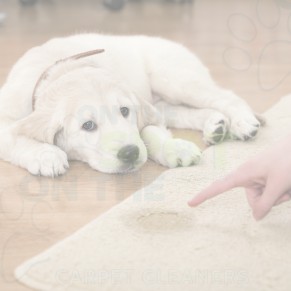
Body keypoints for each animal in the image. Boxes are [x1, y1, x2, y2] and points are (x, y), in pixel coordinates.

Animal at [0, 33, 262, 177]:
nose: (129, 153)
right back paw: (215, 125)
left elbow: (150, 132)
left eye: (125, 111)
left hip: (174, 79)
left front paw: (175, 149)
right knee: (181, 112)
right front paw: (46, 155)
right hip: (164, 101)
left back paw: (242, 123)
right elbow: (16, 137)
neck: (62, 69)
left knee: (226, 96)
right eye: (88, 126)